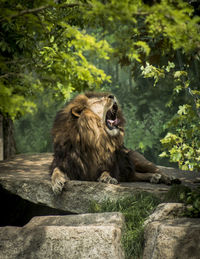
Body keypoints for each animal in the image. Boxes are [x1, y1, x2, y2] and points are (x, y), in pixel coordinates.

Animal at [50, 92, 180, 194]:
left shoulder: (110, 165)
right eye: (98, 100)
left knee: (157, 170)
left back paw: (168, 178)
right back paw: (154, 178)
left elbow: (106, 171)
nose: (112, 95)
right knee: (135, 175)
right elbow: (56, 171)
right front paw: (56, 184)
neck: (94, 139)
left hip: (139, 160)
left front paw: (107, 179)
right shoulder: (65, 163)